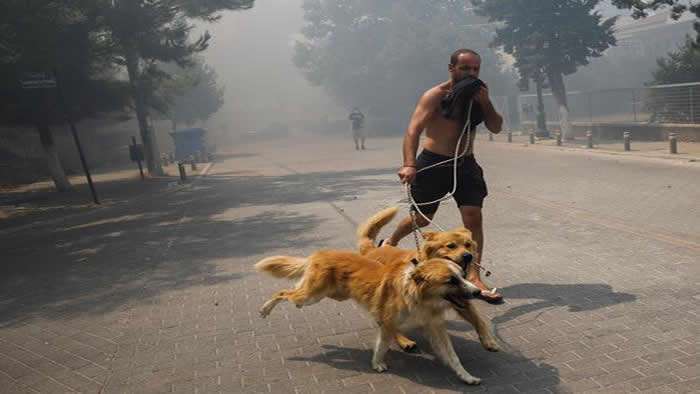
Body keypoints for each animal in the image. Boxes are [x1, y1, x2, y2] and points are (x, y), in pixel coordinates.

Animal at [258, 249, 486, 384]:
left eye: (463, 276)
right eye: (451, 281)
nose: (477, 292)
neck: (419, 298)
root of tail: (320, 253)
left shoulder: (436, 327)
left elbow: (453, 357)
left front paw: (466, 376)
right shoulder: (387, 324)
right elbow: (382, 346)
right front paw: (377, 364)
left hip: (330, 294)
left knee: (292, 294)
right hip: (312, 296)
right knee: (283, 293)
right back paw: (265, 309)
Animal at [358, 206, 500, 354]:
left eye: (468, 245)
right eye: (451, 246)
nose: (468, 256)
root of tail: (371, 251)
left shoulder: (461, 298)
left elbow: (479, 320)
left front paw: (488, 340)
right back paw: (403, 340)